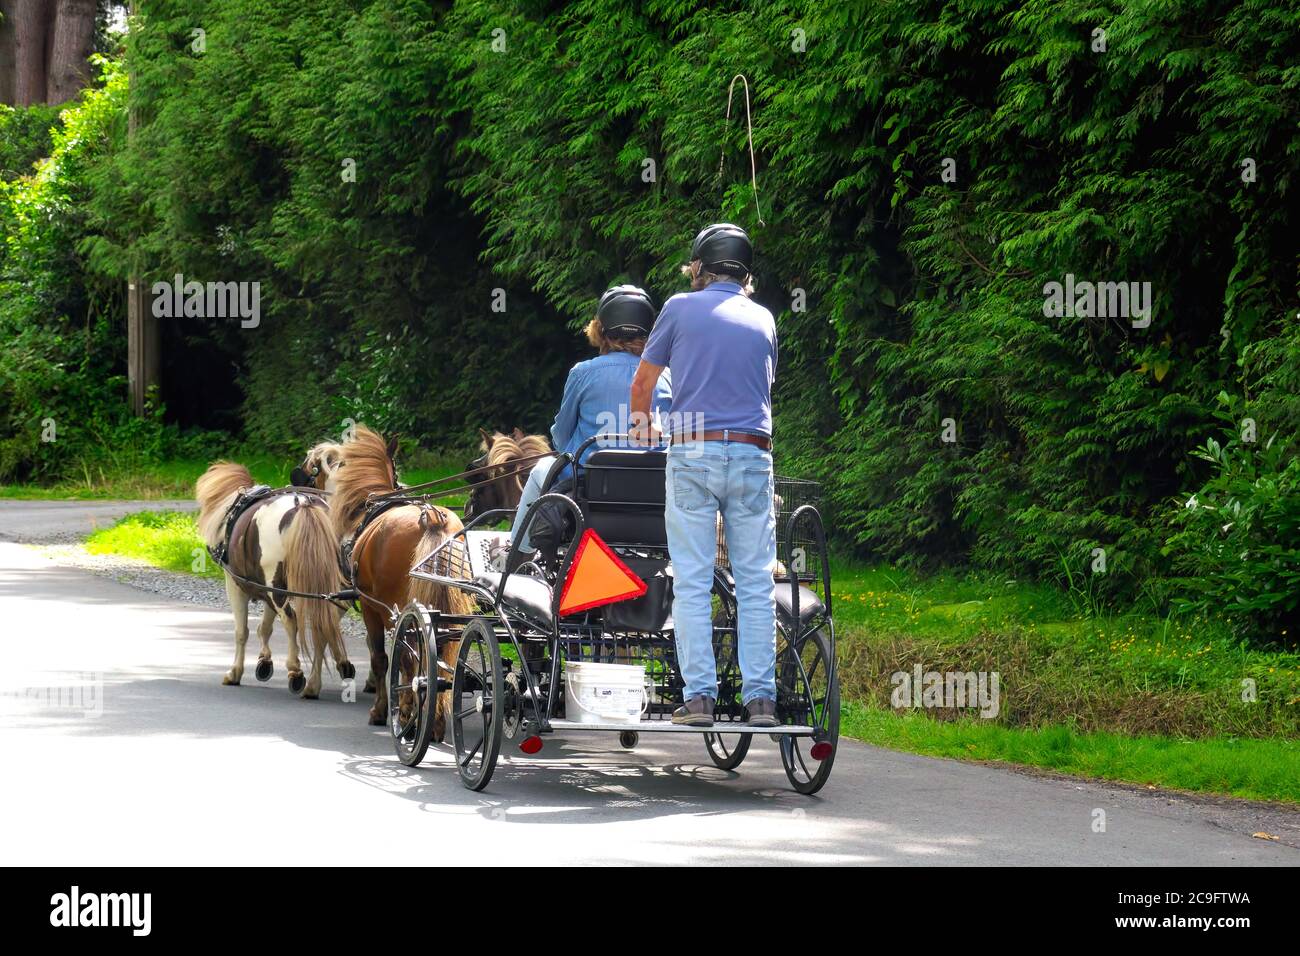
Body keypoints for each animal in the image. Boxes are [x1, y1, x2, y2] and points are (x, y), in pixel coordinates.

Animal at [195, 463, 353, 697]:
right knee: (325, 622)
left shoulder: (236, 585)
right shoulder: (266, 589)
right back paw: (315, 683)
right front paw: (264, 663)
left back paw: (295, 670)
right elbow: (265, 627)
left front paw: (235, 672)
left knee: (291, 621)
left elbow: (242, 631)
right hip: (325, 585)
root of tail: (303, 504)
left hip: (276, 587)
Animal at [330, 426, 478, 733]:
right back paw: (436, 721)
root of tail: (432, 518)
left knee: (412, 656)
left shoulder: (373, 608)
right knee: (441, 653)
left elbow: (384, 659)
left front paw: (387, 709)